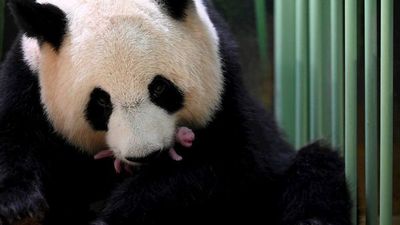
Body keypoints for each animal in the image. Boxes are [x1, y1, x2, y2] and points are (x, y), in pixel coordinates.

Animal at [0, 0, 350, 225]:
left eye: (159, 88)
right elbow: (15, 134)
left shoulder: (224, 80)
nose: (145, 155)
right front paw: (20, 205)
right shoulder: (29, 76)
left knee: (315, 170)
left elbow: (230, 161)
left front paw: (116, 213)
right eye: (100, 102)